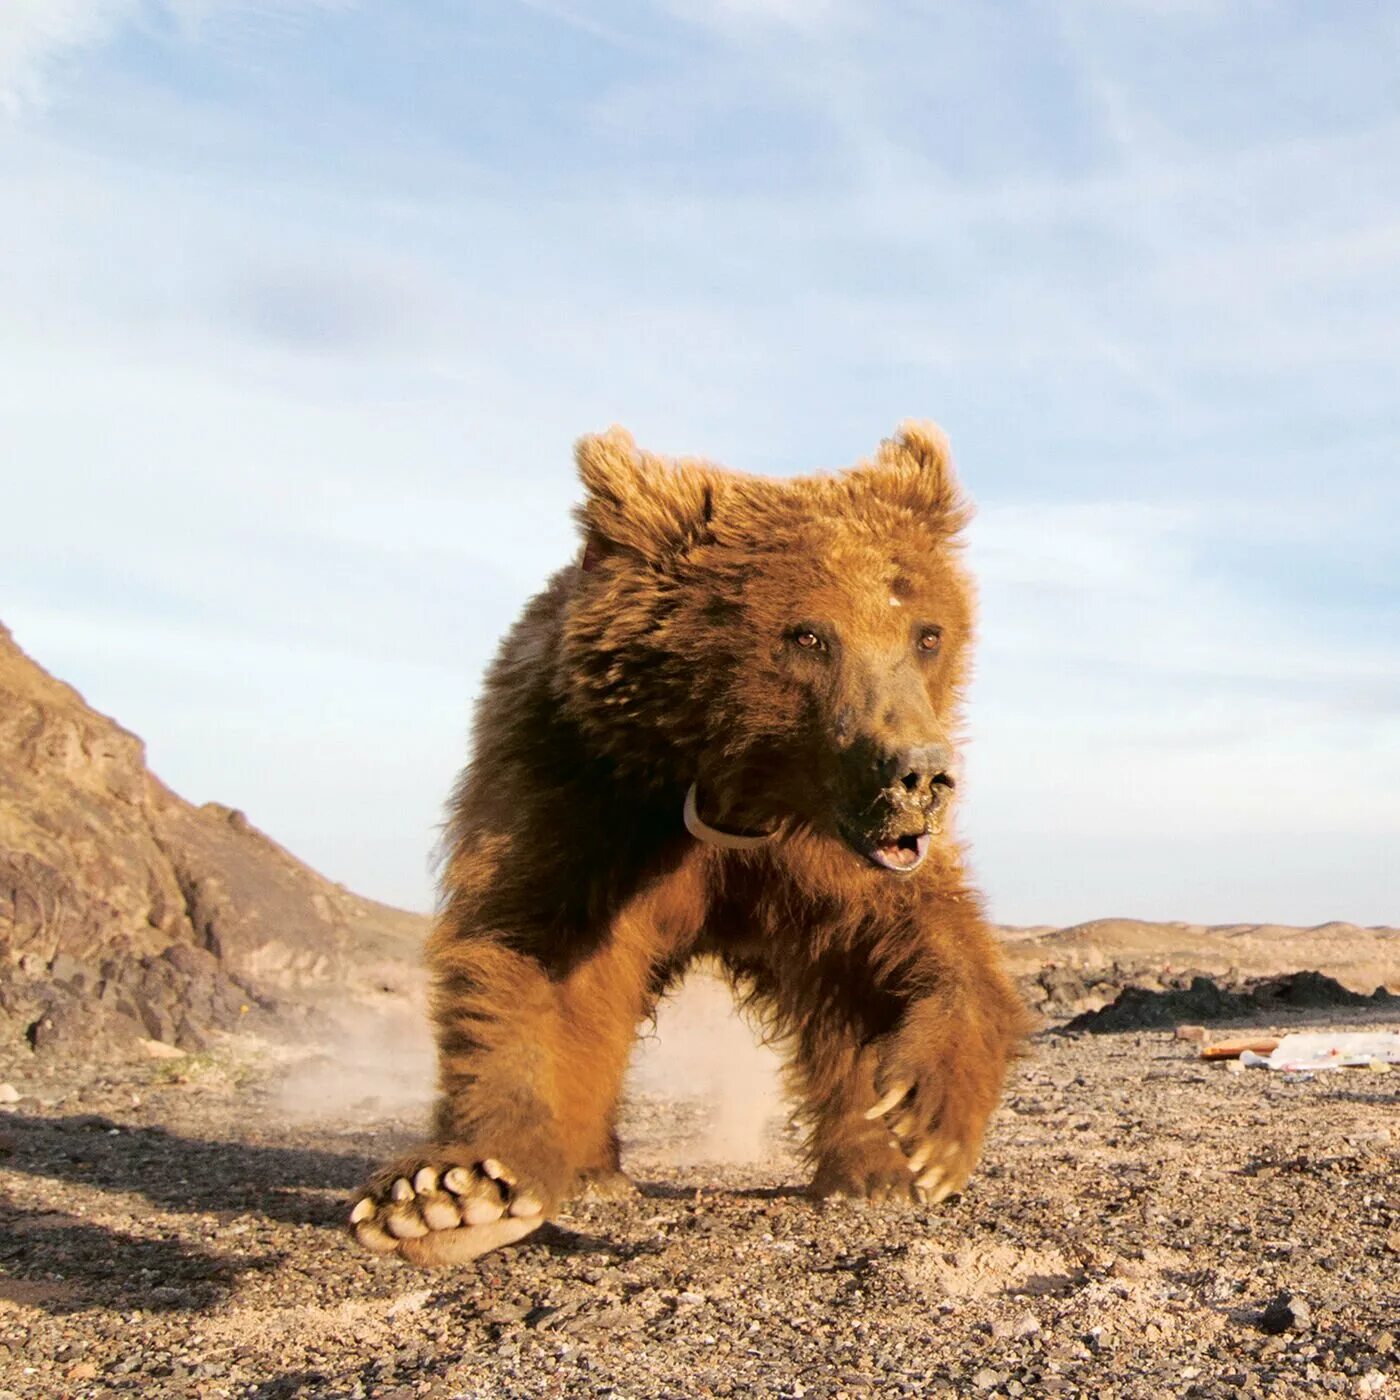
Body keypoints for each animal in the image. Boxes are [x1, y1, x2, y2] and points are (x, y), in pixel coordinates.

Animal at [350, 420, 1030, 1265]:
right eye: (808, 634)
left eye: (927, 633)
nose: (920, 774)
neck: (735, 791)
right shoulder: (584, 791)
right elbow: (532, 956)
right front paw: (452, 1195)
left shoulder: (827, 853)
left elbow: (910, 943)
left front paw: (924, 1126)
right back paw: (592, 1172)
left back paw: (872, 1172)